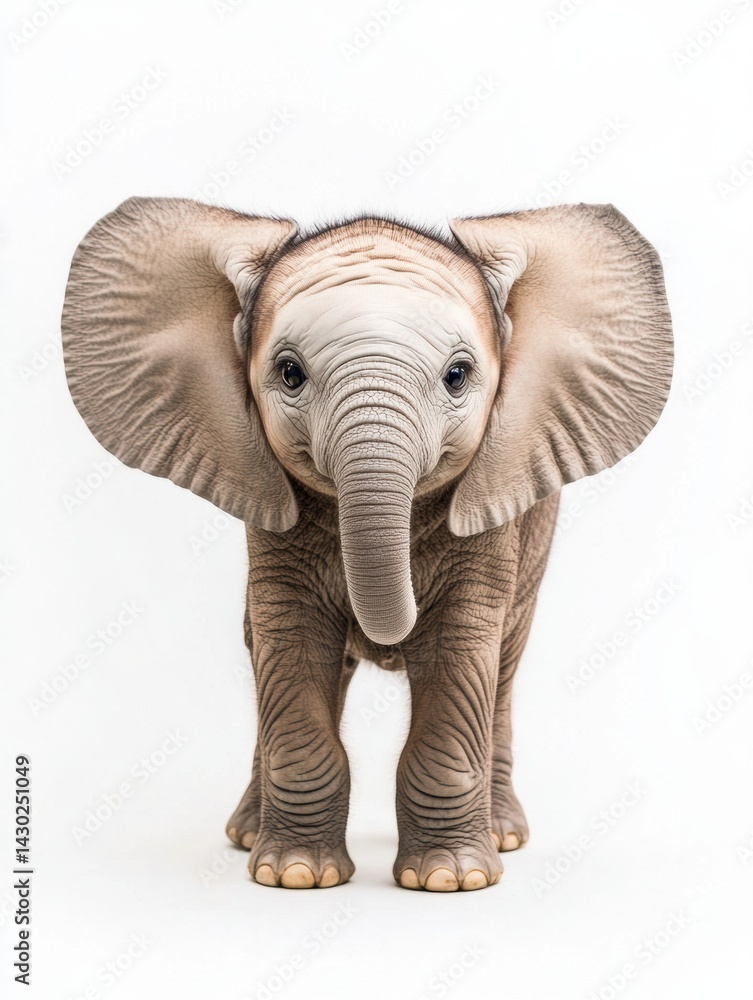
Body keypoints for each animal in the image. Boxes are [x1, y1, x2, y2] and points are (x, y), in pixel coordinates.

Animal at [61, 197, 672, 892]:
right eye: (289, 373)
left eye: (458, 376)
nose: (387, 638)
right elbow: (291, 642)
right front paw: (296, 876)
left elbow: (461, 646)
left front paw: (451, 880)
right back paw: (245, 837)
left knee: (504, 664)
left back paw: (503, 836)